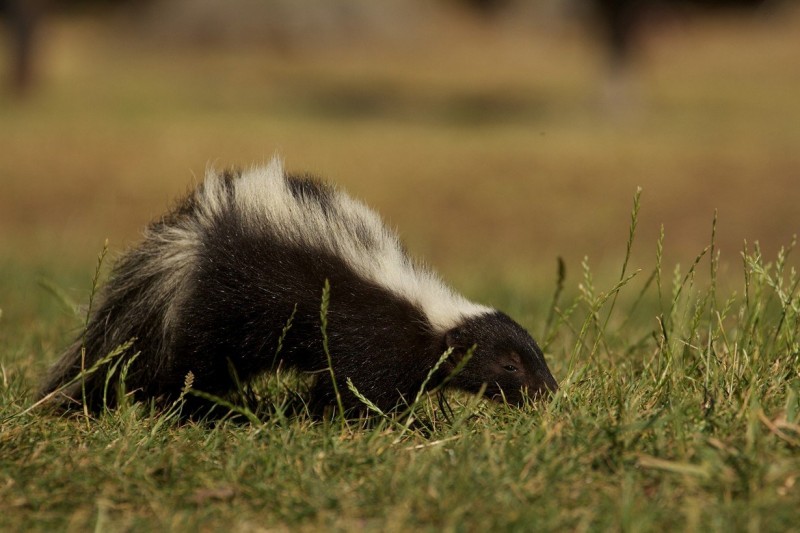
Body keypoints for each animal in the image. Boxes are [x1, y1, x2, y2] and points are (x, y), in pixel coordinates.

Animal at [40, 158, 560, 412]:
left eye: (535, 359)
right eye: (510, 366)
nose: (550, 392)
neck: (427, 313)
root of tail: (200, 234)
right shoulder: (369, 338)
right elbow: (355, 387)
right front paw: (360, 421)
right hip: (224, 309)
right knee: (191, 363)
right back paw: (179, 406)